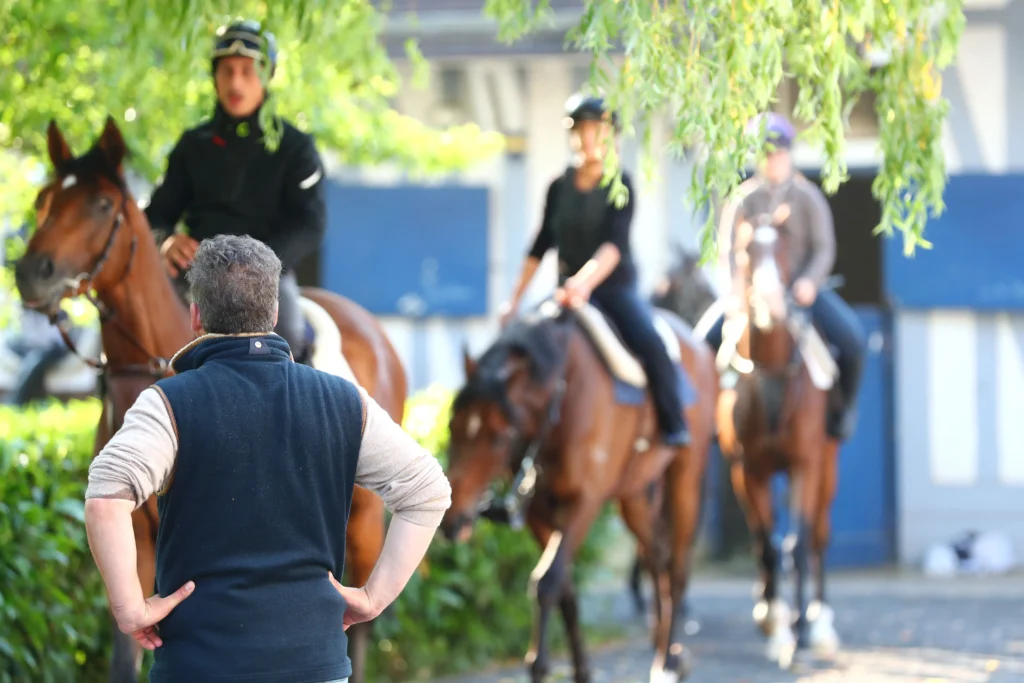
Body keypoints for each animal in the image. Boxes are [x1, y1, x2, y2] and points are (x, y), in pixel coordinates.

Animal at [12, 117, 403, 683]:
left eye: (101, 204)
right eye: (43, 199)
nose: (30, 273)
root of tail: (374, 331)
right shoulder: (135, 537)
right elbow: (125, 652)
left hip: (368, 518)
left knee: (364, 615)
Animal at [440, 301, 720, 683]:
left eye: (499, 436)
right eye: (452, 426)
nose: (452, 519)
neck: (560, 398)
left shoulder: (583, 503)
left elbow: (547, 582)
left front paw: (539, 667)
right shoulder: (539, 511)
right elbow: (564, 588)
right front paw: (581, 669)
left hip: (685, 476)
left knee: (676, 566)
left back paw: (668, 660)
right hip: (633, 494)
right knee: (655, 557)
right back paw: (665, 646)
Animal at [708, 206, 843, 667]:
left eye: (784, 250)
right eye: (746, 251)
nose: (769, 305)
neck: (771, 376)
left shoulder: (805, 464)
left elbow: (797, 545)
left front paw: (799, 632)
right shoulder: (749, 471)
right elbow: (766, 544)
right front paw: (777, 627)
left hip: (827, 467)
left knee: (817, 536)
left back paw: (819, 624)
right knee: (763, 542)